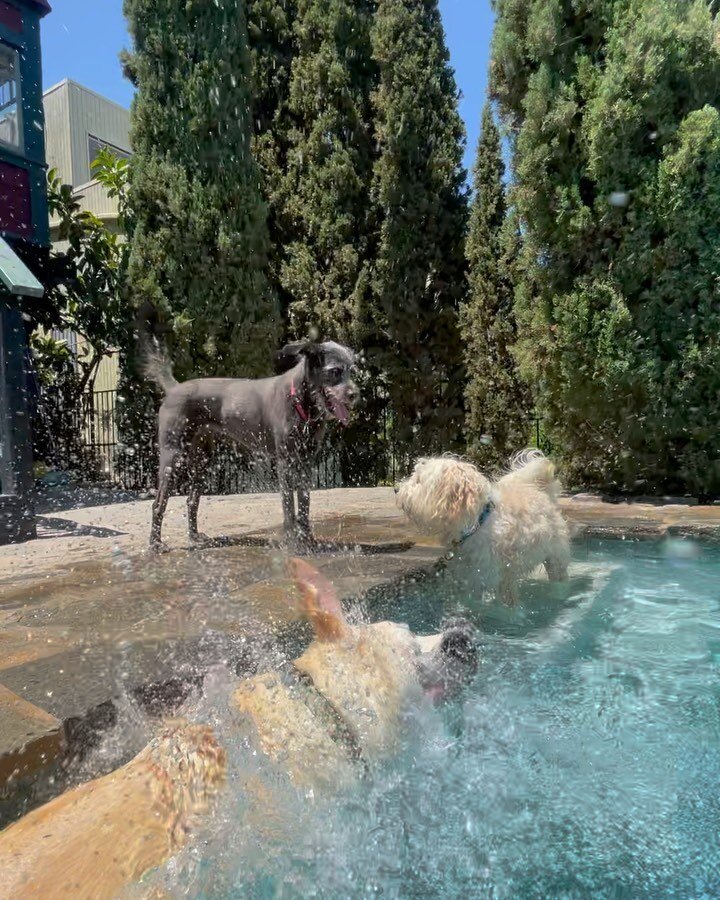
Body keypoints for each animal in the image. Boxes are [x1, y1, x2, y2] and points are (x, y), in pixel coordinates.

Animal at [145, 338, 358, 548]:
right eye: (335, 371)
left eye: (351, 370)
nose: (354, 394)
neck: (299, 400)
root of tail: (174, 388)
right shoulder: (285, 462)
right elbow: (288, 503)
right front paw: (291, 540)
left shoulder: (305, 461)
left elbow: (305, 502)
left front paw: (307, 539)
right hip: (174, 457)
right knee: (158, 504)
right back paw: (155, 543)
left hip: (202, 460)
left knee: (191, 501)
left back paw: (195, 537)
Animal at [396, 450, 572, 604]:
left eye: (418, 480)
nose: (396, 489)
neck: (476, 525)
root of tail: (542, 492)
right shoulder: (472, 577)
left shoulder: (504, 578)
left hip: (556, 558)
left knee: (558, 575)